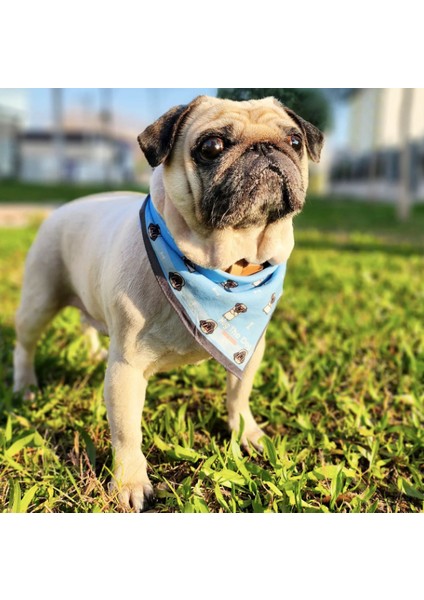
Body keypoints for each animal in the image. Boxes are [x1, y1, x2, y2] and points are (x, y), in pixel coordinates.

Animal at [14, 95, 324, 510]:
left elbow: (238, 395)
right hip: (40, 299)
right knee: (25, 344)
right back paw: (25, 385)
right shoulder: (126, 370)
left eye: (294, 141)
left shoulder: (250, 351)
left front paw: (246, 432)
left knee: (86, 323)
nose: (265, 148)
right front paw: (129, 483)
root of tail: (63, 208)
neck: (228, 270)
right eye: (211, 147)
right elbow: (127, 432)